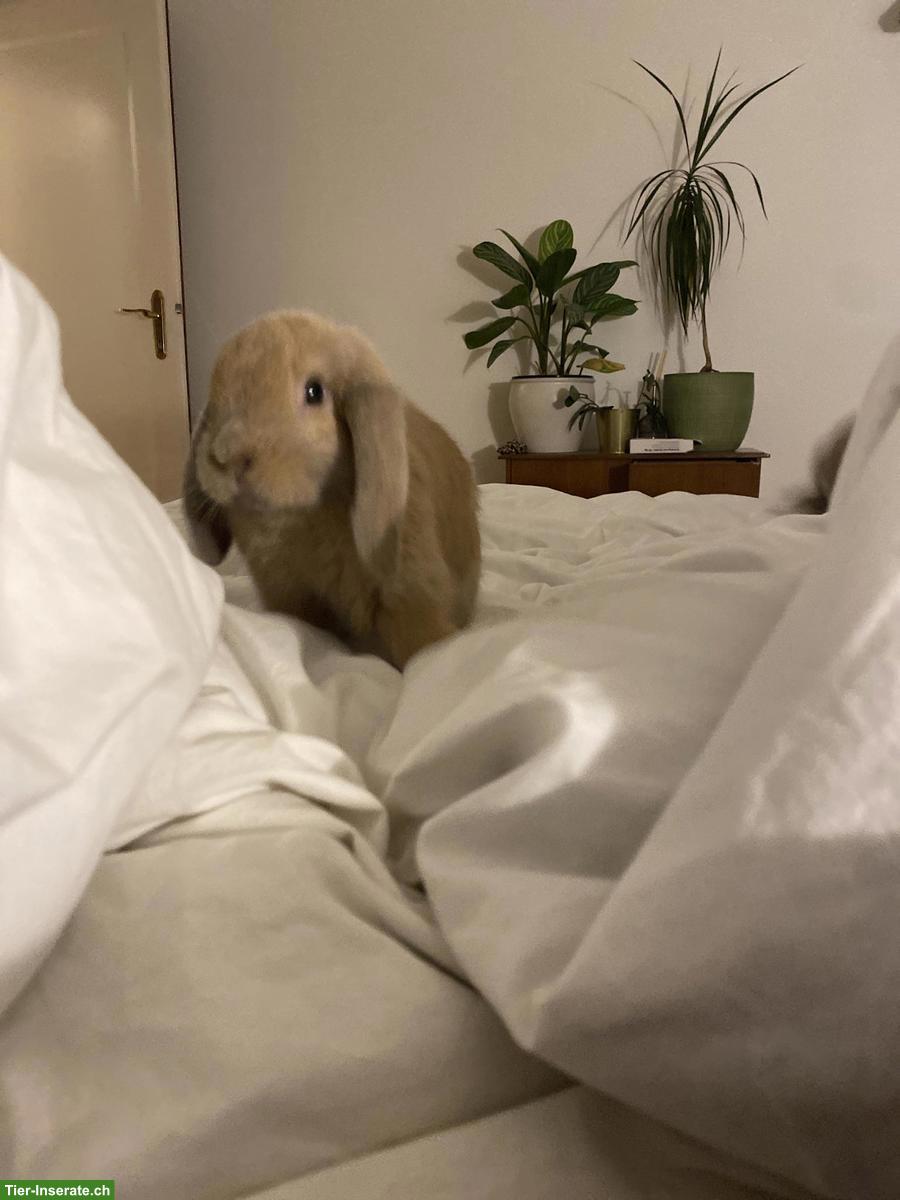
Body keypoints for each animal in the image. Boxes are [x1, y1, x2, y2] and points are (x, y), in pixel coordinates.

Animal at [183, 309, 481, 669]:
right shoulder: (288, 594)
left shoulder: (412, 592)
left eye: (314, 392)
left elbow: (421, 643)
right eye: (216, 388)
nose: (227, 455)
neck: (303, 516)